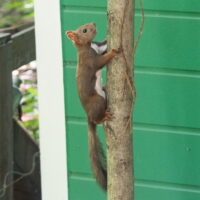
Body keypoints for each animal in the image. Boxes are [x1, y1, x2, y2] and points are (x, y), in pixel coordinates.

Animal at [65, 23, 119, 191]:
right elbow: (100, 62)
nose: (93, 24)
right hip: (98, 102)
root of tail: (88, 115)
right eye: (84, 30)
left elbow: (104, 45)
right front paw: (114, 52)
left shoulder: (98, 47)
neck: (88, 46)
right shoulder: (90, 60)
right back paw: (103, 117)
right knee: (96, 119)